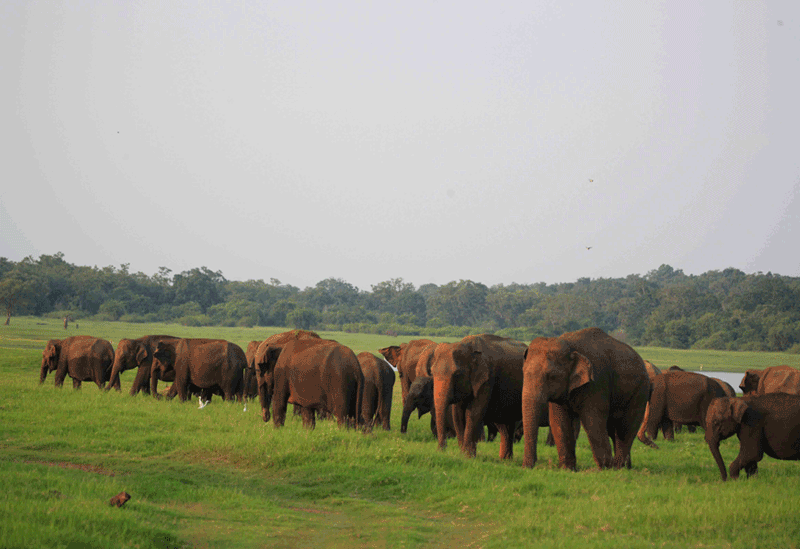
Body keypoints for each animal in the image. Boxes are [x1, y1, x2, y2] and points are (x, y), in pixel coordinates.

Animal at [520, 328, 652, 468]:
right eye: (523, 372)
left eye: (551, 376)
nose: (528, 467)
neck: (568, 344)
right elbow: (559, 420)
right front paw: (567, 469)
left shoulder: (597, 381)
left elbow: (592, 418)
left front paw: (604, 468)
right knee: (613, 429)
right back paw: (625, 467)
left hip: (640, 391)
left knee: (625, 429)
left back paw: (618, 467)